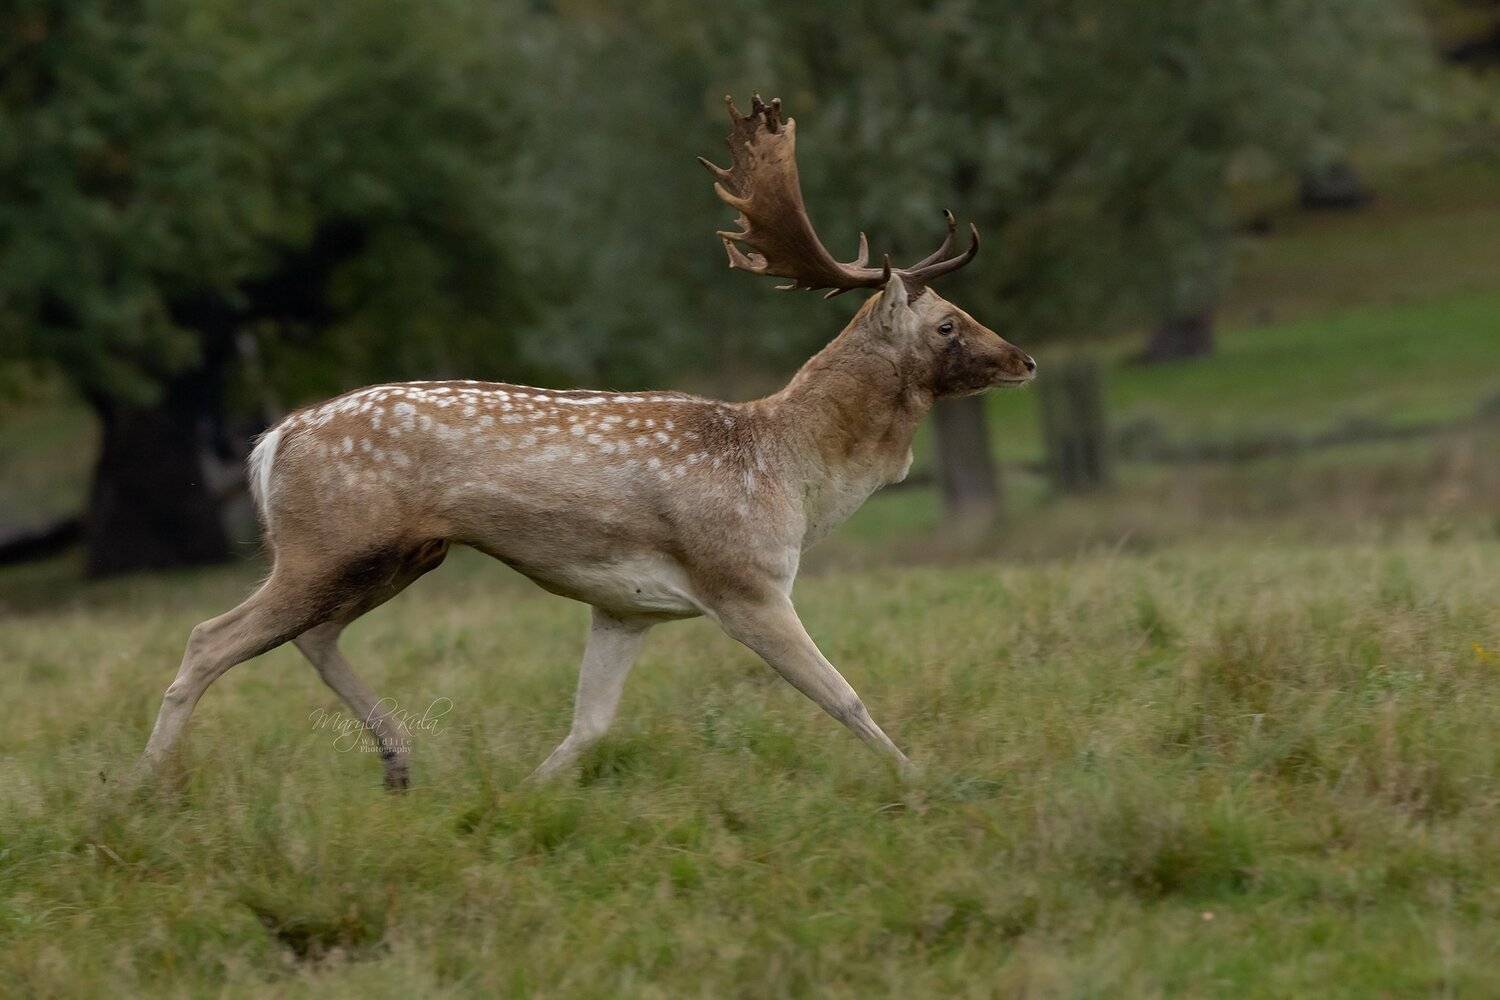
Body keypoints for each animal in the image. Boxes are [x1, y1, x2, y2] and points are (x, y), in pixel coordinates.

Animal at [137, 94, 1035, 789]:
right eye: (948, 324)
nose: (1023, 359)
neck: (790, 471)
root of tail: (270, 442)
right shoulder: (743, 581)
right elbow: (842, 694)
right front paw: (923, 780)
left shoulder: (624, 608)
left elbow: (590, 726)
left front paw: (523, 798)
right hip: (325, 542)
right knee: (210, 638)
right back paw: (140, 790)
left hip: (399, 553)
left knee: (312, 636)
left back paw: (398, 762)